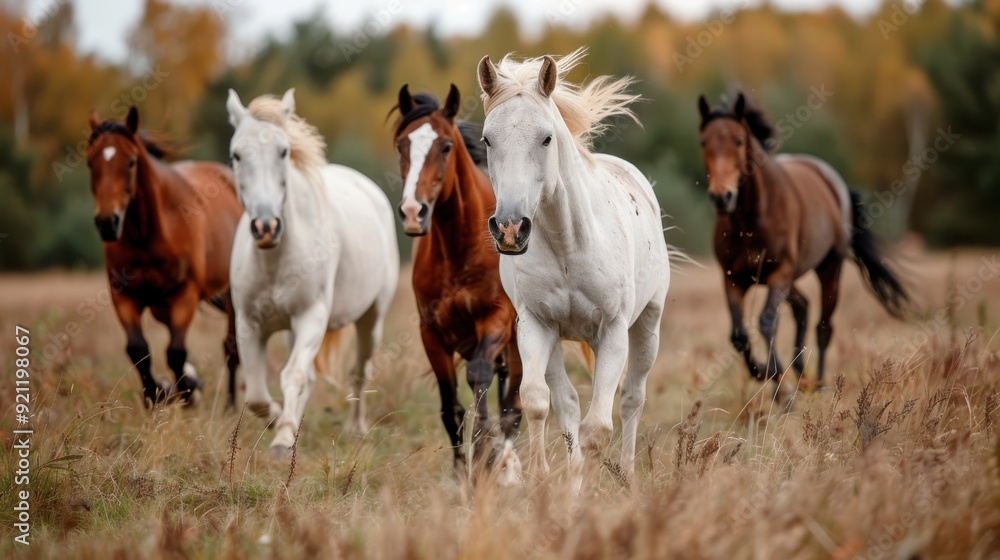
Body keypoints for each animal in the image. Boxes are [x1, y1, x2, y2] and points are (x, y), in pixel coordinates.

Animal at [86, 106, 243, 408]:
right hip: (160, 306)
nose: (107, 223)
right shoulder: (123, 294)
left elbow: (175, 352)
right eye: (90, 162)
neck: (150, 235)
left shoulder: (185, 294)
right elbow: (138, 350)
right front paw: (158, 394)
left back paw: (230, 406)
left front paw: (186, 392)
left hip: (231, 293)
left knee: (231, 347)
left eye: (131, 162)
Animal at [226, 88, 399, 455]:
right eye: (236, 154)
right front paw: (280, 422)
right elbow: (257, 394)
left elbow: (293, 375)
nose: (266, 227)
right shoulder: (249, 322)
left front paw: (281, 440)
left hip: (371, 320)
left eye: (284, 151)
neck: (275, 259)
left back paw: (356, 428)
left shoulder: (311, 316)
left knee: (359, 371)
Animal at [391, 83, 523, 476]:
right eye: (401, 145)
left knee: (513, 407)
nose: (413, 212)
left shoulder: (496, 319)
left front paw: (484, 454)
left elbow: (478, 378)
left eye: (446, 146)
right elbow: (450, 406)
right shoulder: (431, 332)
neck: (459, 247)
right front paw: (460, 472)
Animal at [478, 48, 671, 487]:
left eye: (546, 137)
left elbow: (598, 426)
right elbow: (539, 401)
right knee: (566, 402)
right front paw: (547, 480)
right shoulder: (536, 325)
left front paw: (591, 491)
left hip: (646, 327)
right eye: (487, 139)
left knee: (632, 399)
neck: (569, 244)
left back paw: (628, 475)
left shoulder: (613, 330)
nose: (510, 228)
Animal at [696, 92, 910, 389]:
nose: (721, 197)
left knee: (823, 326)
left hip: (828, 269)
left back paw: (818, 383)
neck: (752, 219)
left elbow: (766, 323)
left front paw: (777, 379)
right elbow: (739, 335)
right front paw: (764, 372)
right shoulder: (733, 279)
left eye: (738, 140)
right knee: (803, 307)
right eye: (704, 142)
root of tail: (835, 183)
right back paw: (799, 371)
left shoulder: (780, 273)